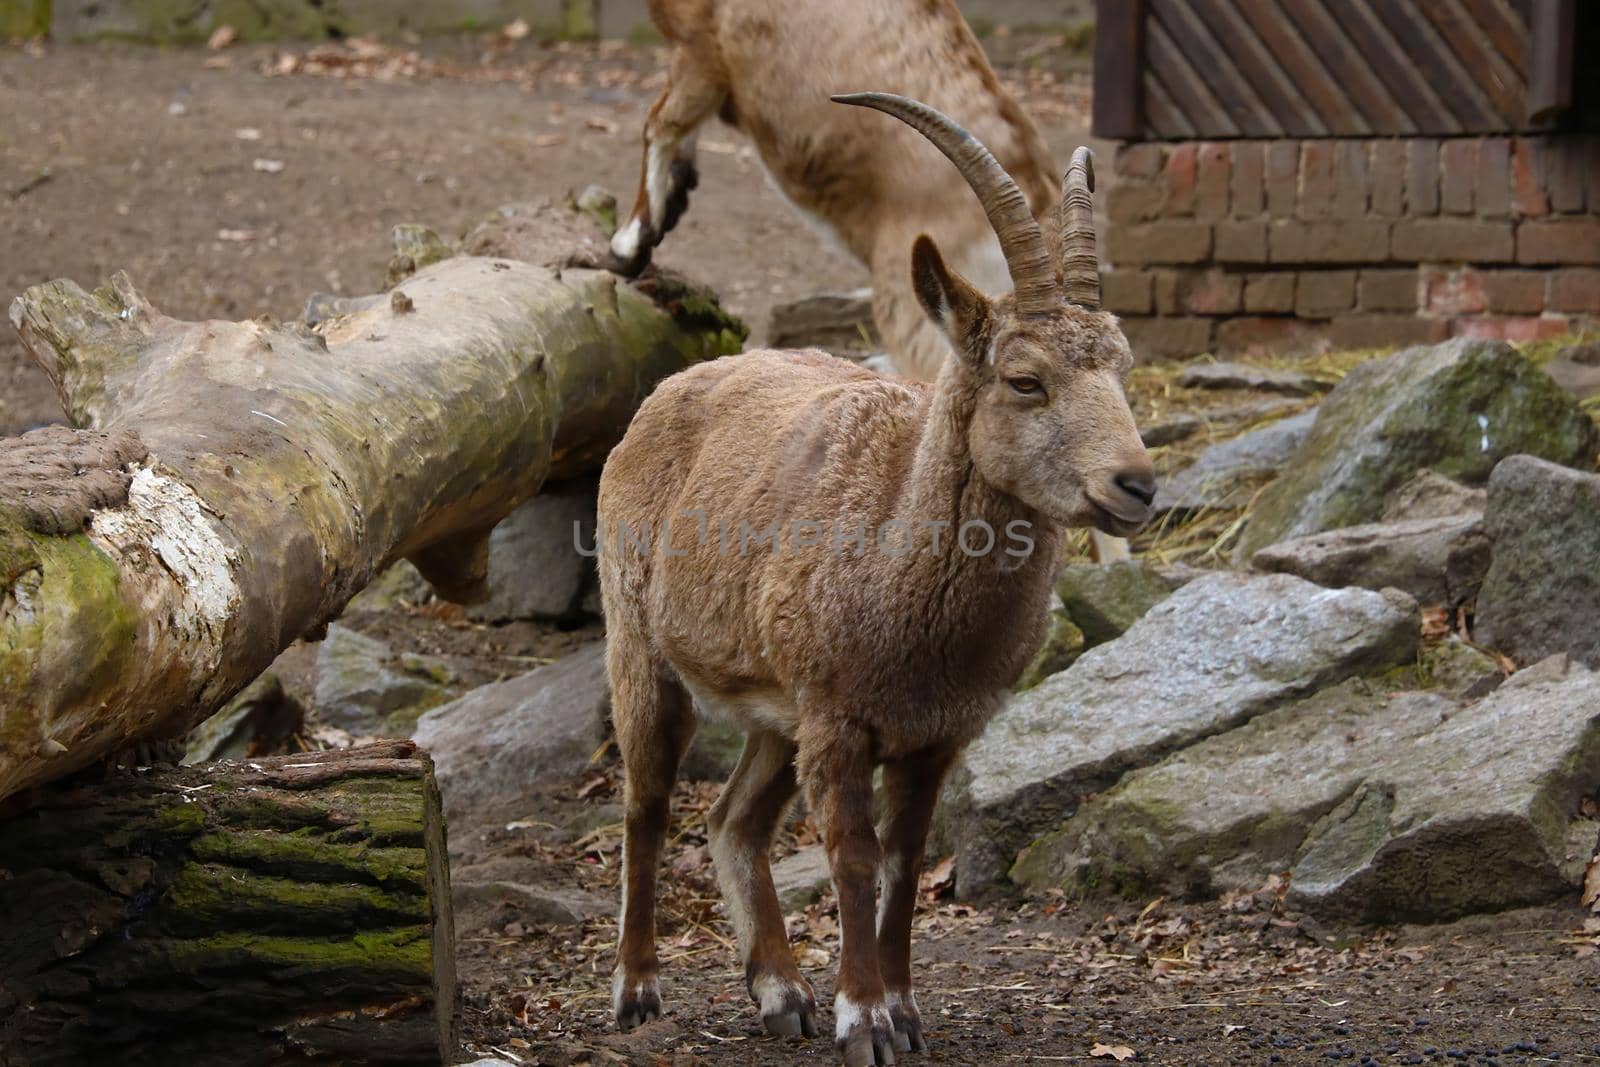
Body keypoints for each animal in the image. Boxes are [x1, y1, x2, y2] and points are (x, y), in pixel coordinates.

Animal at [601, 93, 1152, 1067]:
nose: (1136, 483)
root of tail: (669, 391)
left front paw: (901, 1009)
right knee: (649, 801)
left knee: (734, 817)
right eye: (1025, 379)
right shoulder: (840, 722)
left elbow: (904, 860)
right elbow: (854, 861)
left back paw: (779, 990)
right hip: (640, 645)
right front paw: (864, 1018)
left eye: (1122, 368)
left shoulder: (933, 735)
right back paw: (637, 988)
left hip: (774, 709)